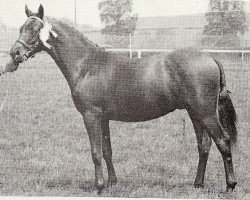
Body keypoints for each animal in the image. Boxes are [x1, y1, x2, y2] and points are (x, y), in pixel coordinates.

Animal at [8, 4, 237, 192]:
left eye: (35, 30)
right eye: (21, 28)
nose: (14, 53)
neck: (87, 65)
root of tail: (210, 57)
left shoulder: (91, 116)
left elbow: (95, 151)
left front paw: (99, 186)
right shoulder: (104, 118)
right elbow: (107, 150)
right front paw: (112, 182)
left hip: (206, 114)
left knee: (223, 142)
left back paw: (230, 186)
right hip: (195, 113)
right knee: (204, 145)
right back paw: (198, 184)